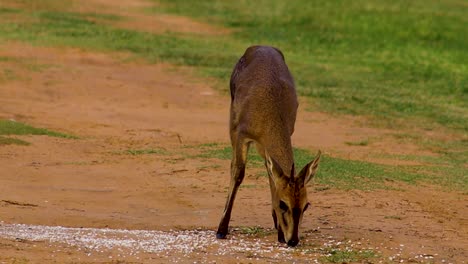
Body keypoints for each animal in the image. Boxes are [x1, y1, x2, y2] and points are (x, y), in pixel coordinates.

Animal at [217, 46, 322, 248]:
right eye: (283, 203)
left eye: (306, 205)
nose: (293, 240)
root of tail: (259, 46)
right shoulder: (241, 134)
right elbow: (238, 173)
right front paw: (221, 230)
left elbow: (273, 176)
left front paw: (280, 232)